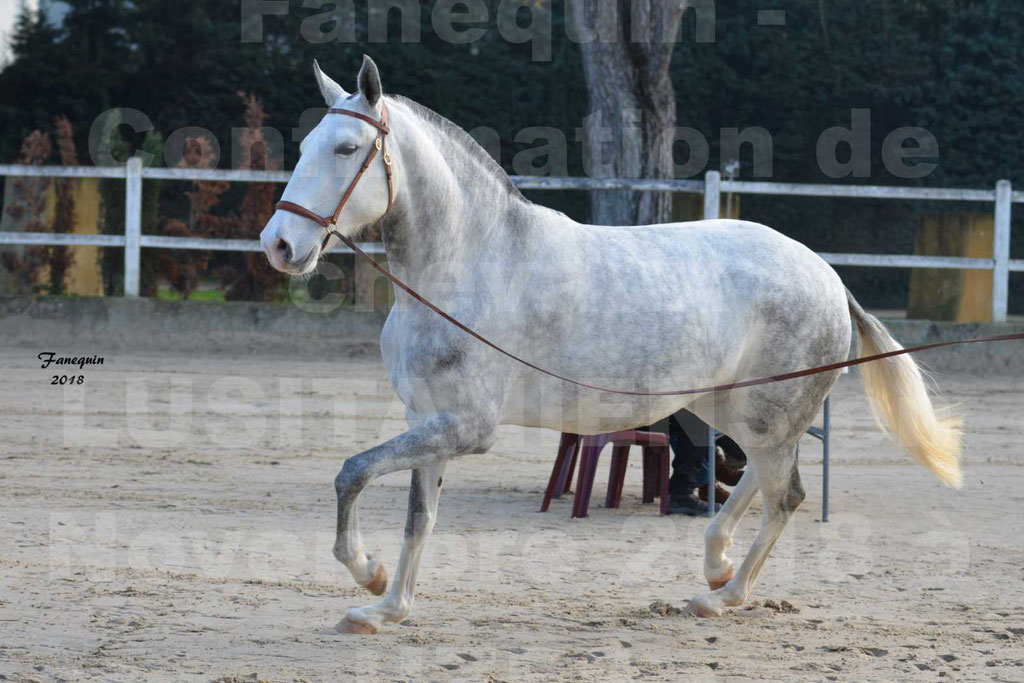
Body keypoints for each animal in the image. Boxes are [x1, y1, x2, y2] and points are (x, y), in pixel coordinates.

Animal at [258, 57, 958, 634]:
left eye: (347, 148)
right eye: (307, 145)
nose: (280, 246)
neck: (467, 265)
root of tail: (829, 277)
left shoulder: (464, 427)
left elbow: (352, 472)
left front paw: (366, 571)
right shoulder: (428, 421)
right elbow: (417, 516)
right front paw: (386, 607)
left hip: (767, 414)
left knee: (783, 493)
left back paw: (723, 596)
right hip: (726, 407)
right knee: (757, 478)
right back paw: (716, 567)